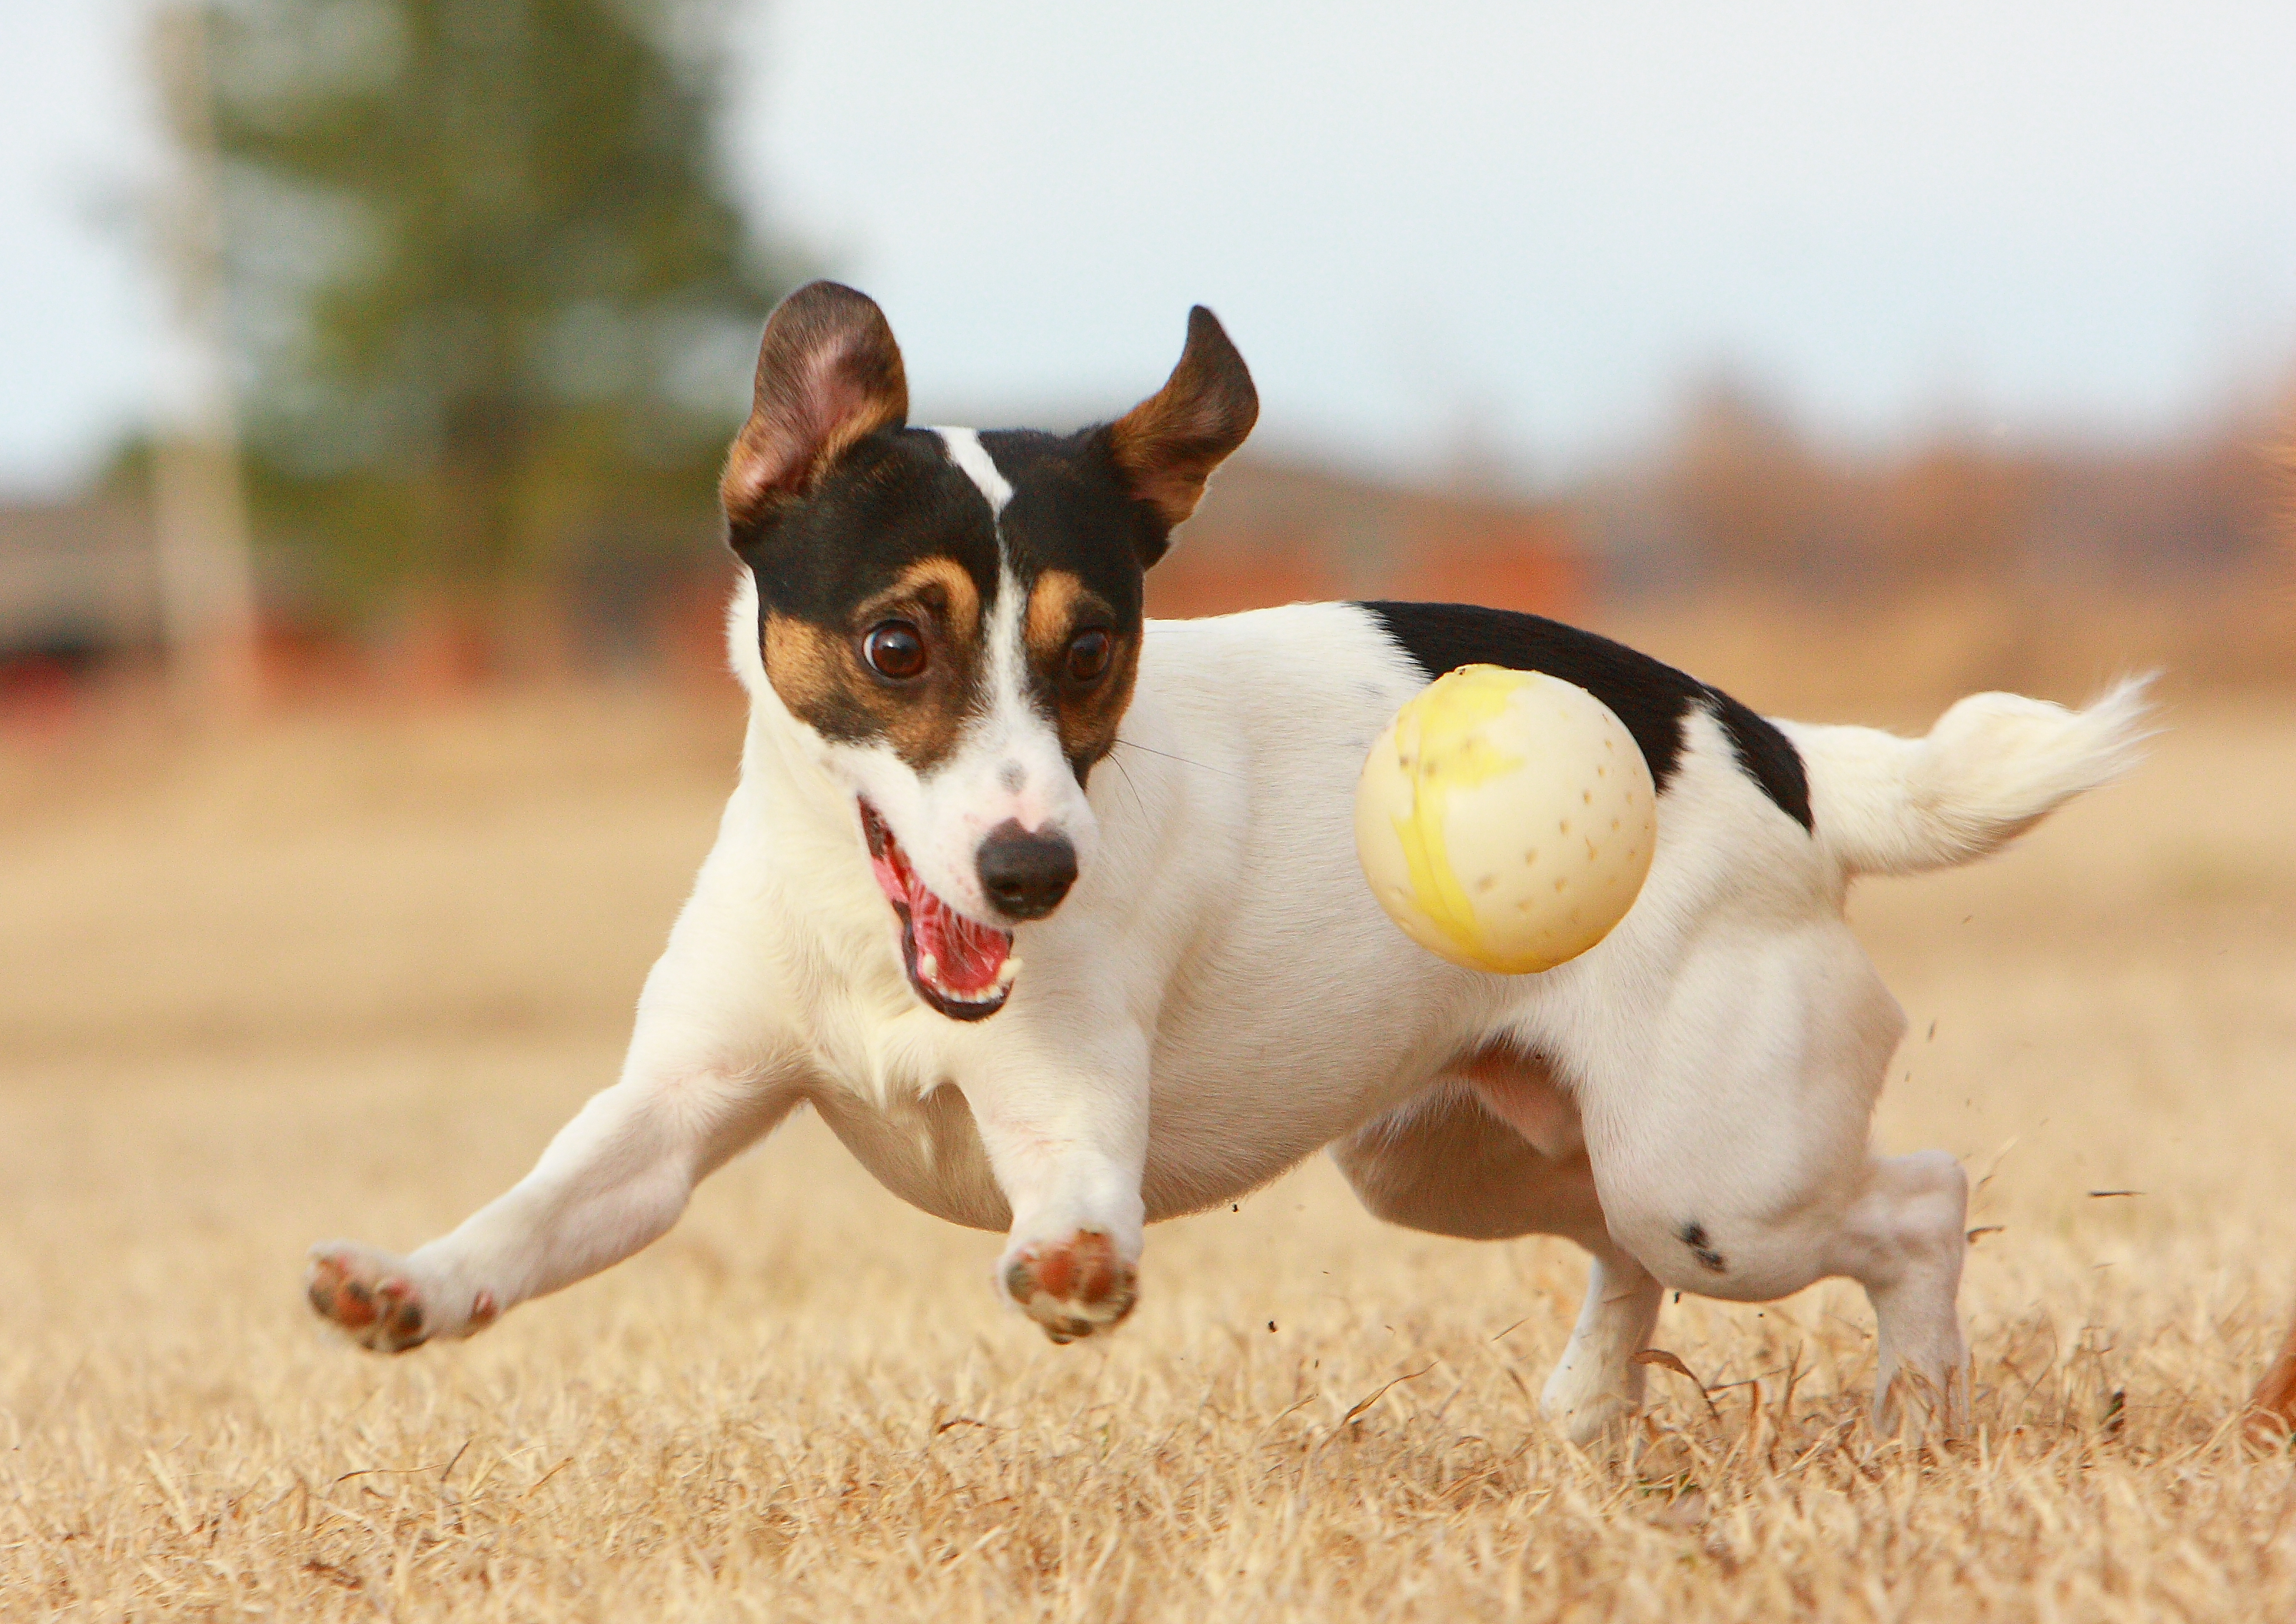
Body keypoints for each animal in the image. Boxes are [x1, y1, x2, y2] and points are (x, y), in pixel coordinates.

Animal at [310, 282, 2149, 1452]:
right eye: (897, 642)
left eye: (1094, 651)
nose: (1032, 869)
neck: (867, 929)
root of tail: (1778, 750)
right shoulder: (671, 1114)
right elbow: (534, 1216)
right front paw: (410, 1286)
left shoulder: (1065, 1107)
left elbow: (1073, 1209)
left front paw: (1071, 1276)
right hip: (1470, 1157)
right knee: (1621, 1243)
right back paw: (1591, 1414)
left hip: (1721, 1176)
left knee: (1918, 1200)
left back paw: (1913, 1420)